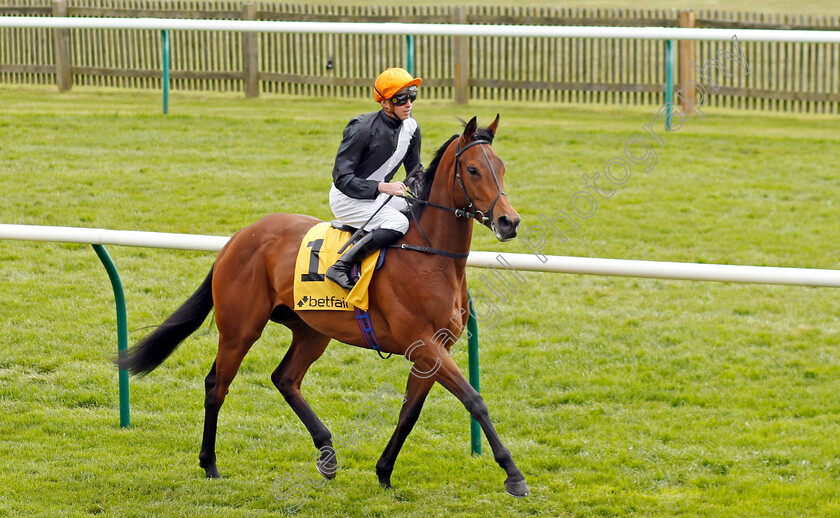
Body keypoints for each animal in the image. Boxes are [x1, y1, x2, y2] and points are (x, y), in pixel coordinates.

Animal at [118, 116, 528, 498]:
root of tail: (238, 237)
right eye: (473, 170)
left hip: (312, 330)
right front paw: (513, 474)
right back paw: (210, 464)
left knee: (285, 378)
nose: (509, 221)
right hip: (240, 329)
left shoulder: (432, 350)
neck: (429, 256)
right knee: (217, 384)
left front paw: (383, 471)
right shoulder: (425, 344)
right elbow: (474, 400)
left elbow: (409, 412)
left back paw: (327, 454)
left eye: (503, 167)